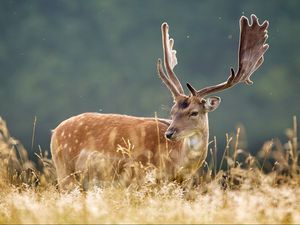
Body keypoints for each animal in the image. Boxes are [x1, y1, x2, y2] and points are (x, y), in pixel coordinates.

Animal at [51, 14, 270, 190]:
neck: (176, 164)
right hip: (65, 172)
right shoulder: (139, 177)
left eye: (194, 112)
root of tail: (55, 132)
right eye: (172, 112)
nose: (170, 133)